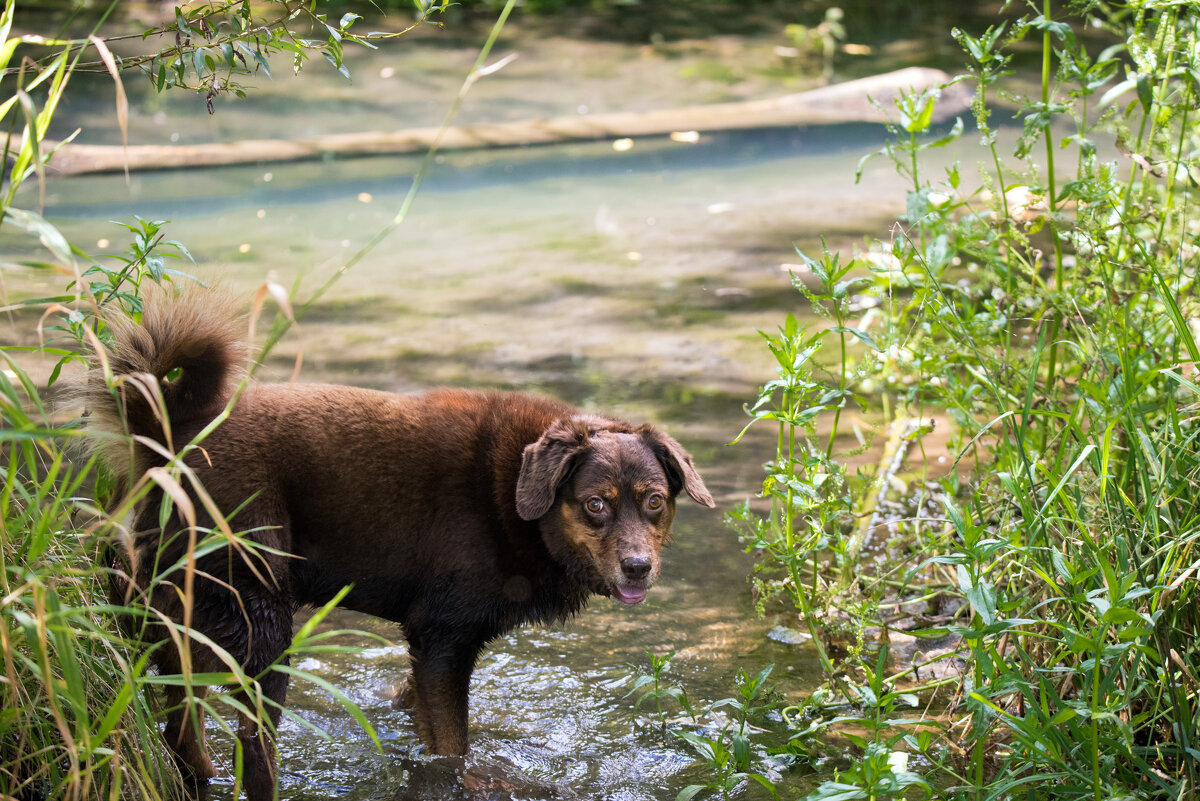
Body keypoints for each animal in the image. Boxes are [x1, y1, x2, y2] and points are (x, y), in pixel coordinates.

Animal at [91, 288, 710, 801]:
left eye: (655, 501)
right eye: (595, 505)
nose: (638, 567)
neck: (514, 496)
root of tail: (169, 432)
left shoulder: (429, 646)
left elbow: (414, 713)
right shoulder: (442, 635)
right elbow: (451, 748)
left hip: (179, 617)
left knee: (178, 716)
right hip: (262, 619)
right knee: (252, 745)